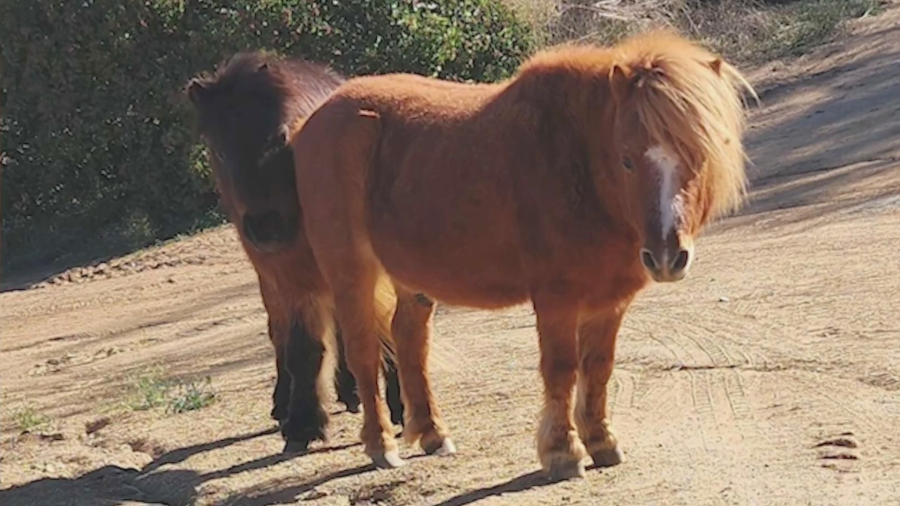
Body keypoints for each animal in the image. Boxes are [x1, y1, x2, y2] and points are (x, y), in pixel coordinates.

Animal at [185, 53, 402, 452]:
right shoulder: (290, 275)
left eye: (281, 137)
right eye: (219, 150)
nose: (267, 226)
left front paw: (400, 404)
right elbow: (302, 347)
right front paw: (303, 422)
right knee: (283, 333)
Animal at [284, 29, 756, 476]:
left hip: (409, 278)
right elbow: (562, 369)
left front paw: (601, 441)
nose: (666, 256)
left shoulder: (610, 301)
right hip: (351, 271)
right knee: (363, 351)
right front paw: (562, 452)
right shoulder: (556, 298)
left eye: (699, 154)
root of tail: (312, 121)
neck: (577, 163)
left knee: (409, 341)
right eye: (626, 160)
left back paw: (433, 433)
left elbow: (599, 367)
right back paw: (381, 445)